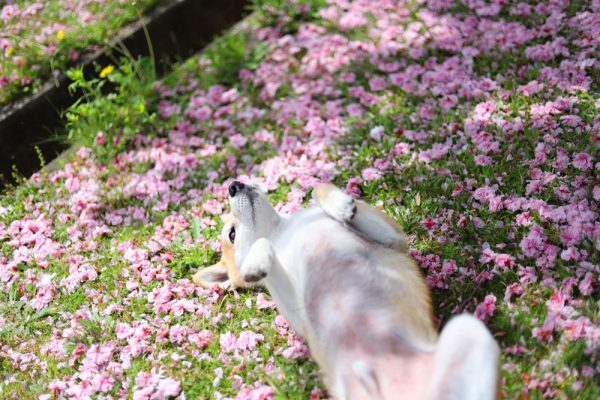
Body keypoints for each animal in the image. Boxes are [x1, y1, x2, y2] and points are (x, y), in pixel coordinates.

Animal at [199, 182, 500, 400]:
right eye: (232, 234)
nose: (233, 185)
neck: (282, 231)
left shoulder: (393, 240)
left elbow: (318, 186)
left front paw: (341, 204)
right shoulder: (296, 312)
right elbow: (264, 248)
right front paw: (255, 262)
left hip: (467, 330)